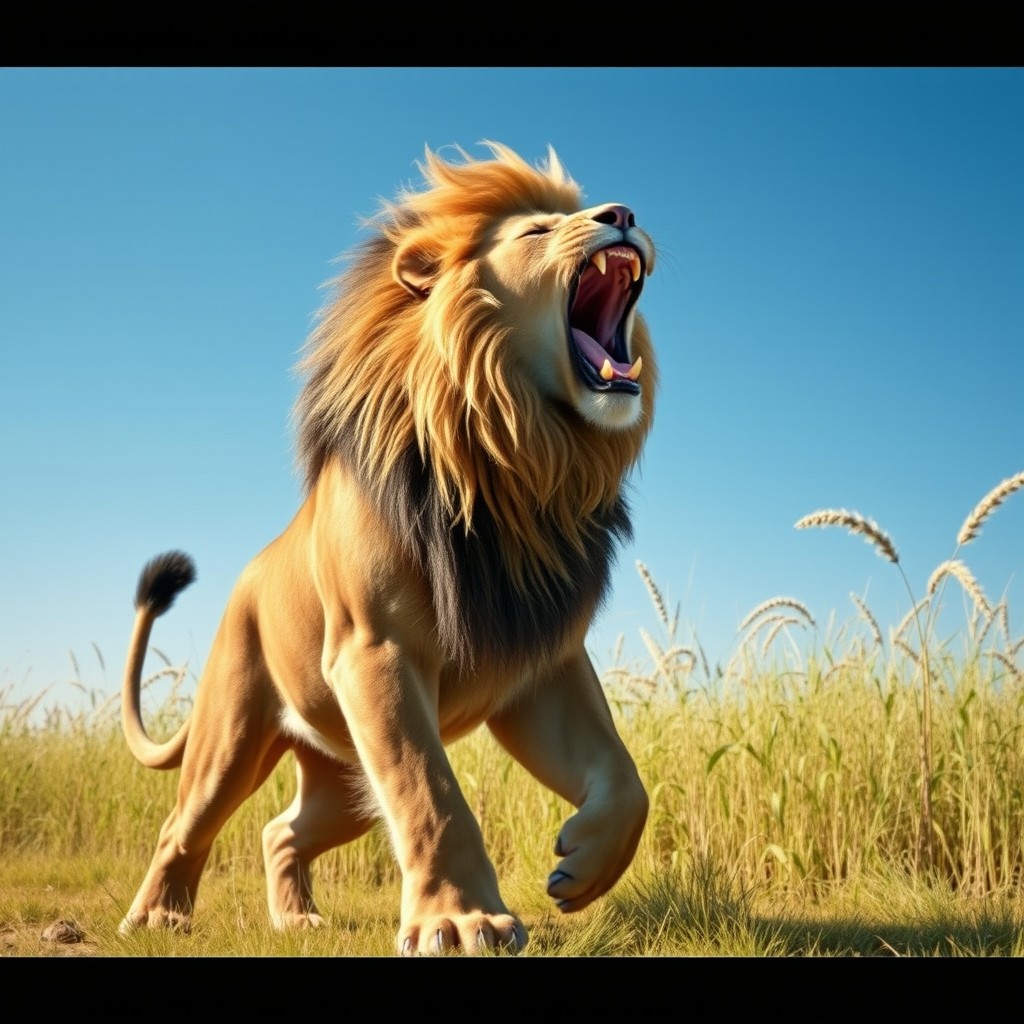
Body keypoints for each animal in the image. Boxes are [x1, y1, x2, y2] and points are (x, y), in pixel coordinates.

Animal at [119, 142, 658, 955]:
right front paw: (463, 922)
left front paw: (580, 868)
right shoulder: (376, 651)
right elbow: (430, 794)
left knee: (280, 830)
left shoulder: (539, 662)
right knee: (183, 824)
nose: (623, 214)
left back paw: (296, 917)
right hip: (232, 735)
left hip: (342, 774)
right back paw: (158, 916)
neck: (514, 468)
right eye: (536, 232)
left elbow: (626, 779)